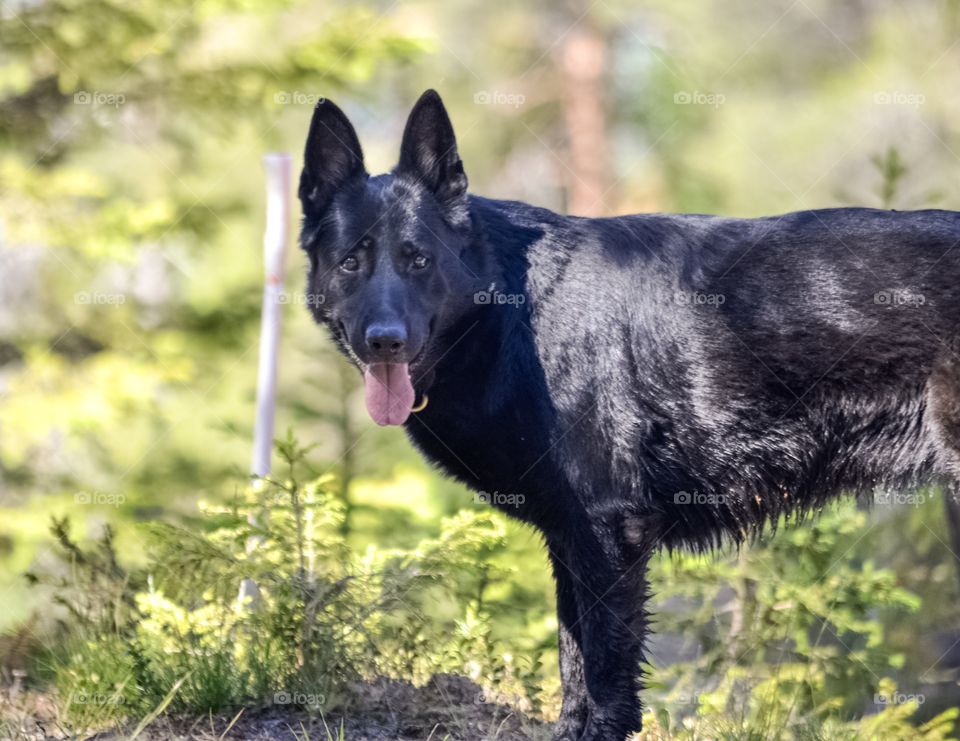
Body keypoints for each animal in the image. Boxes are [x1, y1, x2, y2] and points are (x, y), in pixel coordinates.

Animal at [298, 89, 960, 736]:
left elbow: (604, 676)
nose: (384, 342)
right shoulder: (572, 537)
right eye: (351, 261)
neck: (512, 307)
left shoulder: (608, 532)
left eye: (418, 260)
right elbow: (573, 667)